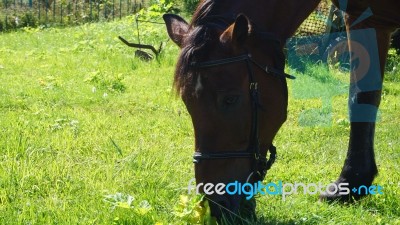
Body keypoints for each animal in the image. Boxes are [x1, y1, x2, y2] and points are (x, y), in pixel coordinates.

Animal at [163, 0, 400, 221]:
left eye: (230, 99)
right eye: (187, 103)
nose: (216, 205)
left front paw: (350, 182)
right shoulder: (369, 20)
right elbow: (362, 98)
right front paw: (351, 184)